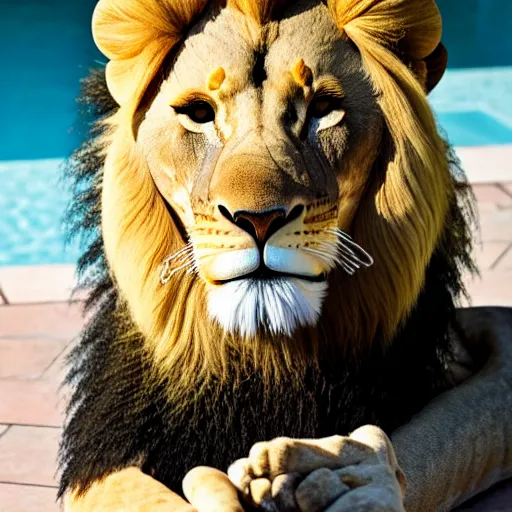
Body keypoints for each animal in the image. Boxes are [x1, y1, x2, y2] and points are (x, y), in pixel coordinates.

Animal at [57, 0, 512, 510]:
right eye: (199, 112)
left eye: (323, 111)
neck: (269, 358)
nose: (258, 219)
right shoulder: (108, 450)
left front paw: (348, 476)